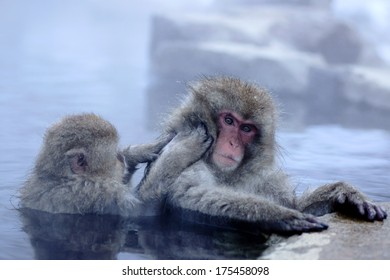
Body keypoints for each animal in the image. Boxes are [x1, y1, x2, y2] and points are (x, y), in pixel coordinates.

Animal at [140, 76, 386, 234]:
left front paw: (346, 194)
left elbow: (295, 204)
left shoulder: (265, 179)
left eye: (247, 129)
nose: (232, 143)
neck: (228, 175)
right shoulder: (194, 161)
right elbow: (191, 195)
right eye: (228, 120)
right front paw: (278, 216)